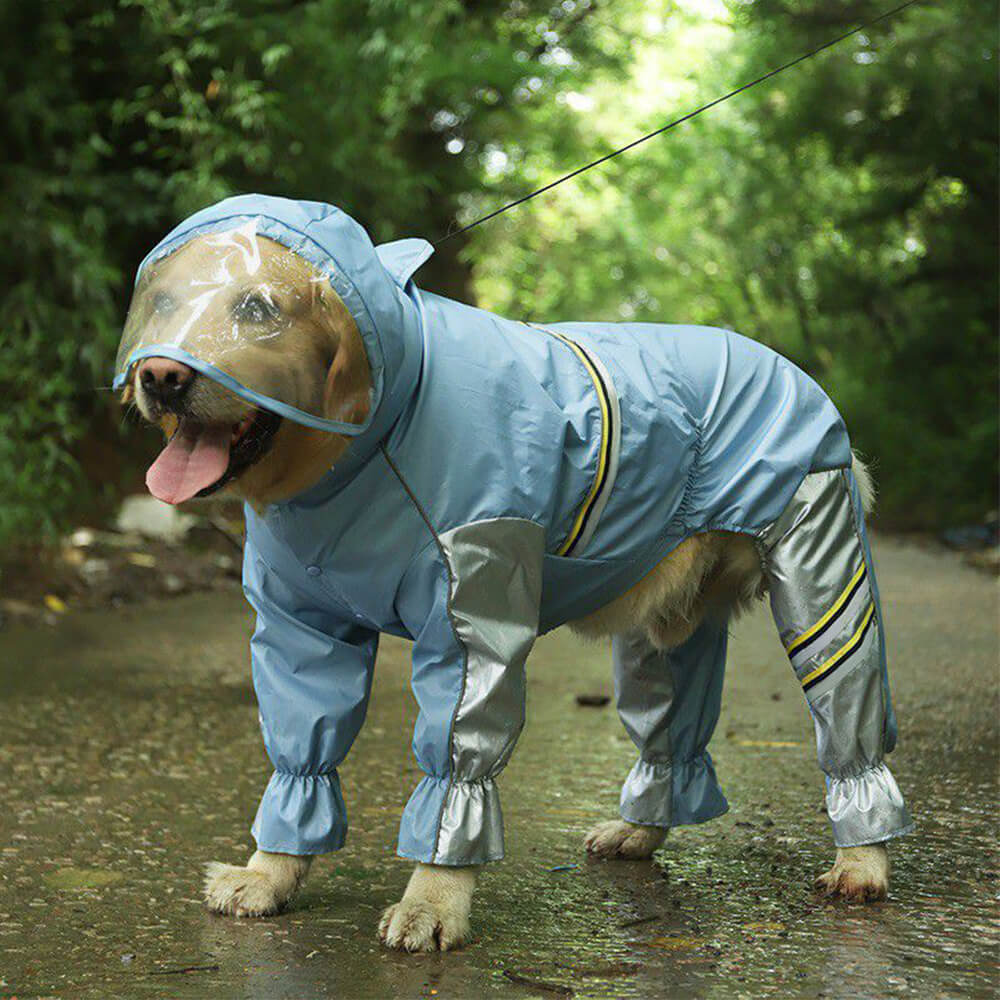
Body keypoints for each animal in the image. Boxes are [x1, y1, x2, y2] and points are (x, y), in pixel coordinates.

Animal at [119, 195, 916, 952]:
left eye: (258, 309)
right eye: (163, 302)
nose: (159, 374)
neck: (352, 461)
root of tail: (781, 361)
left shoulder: (472, 622)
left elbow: (456, 773)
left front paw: (432, 903)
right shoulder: (301, 633)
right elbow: (301, 756)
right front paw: (270, 875)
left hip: (820, 577)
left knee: (849, 720)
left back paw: (862, 859)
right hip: (661, 633)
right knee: (670, 735)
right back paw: (641, 830)